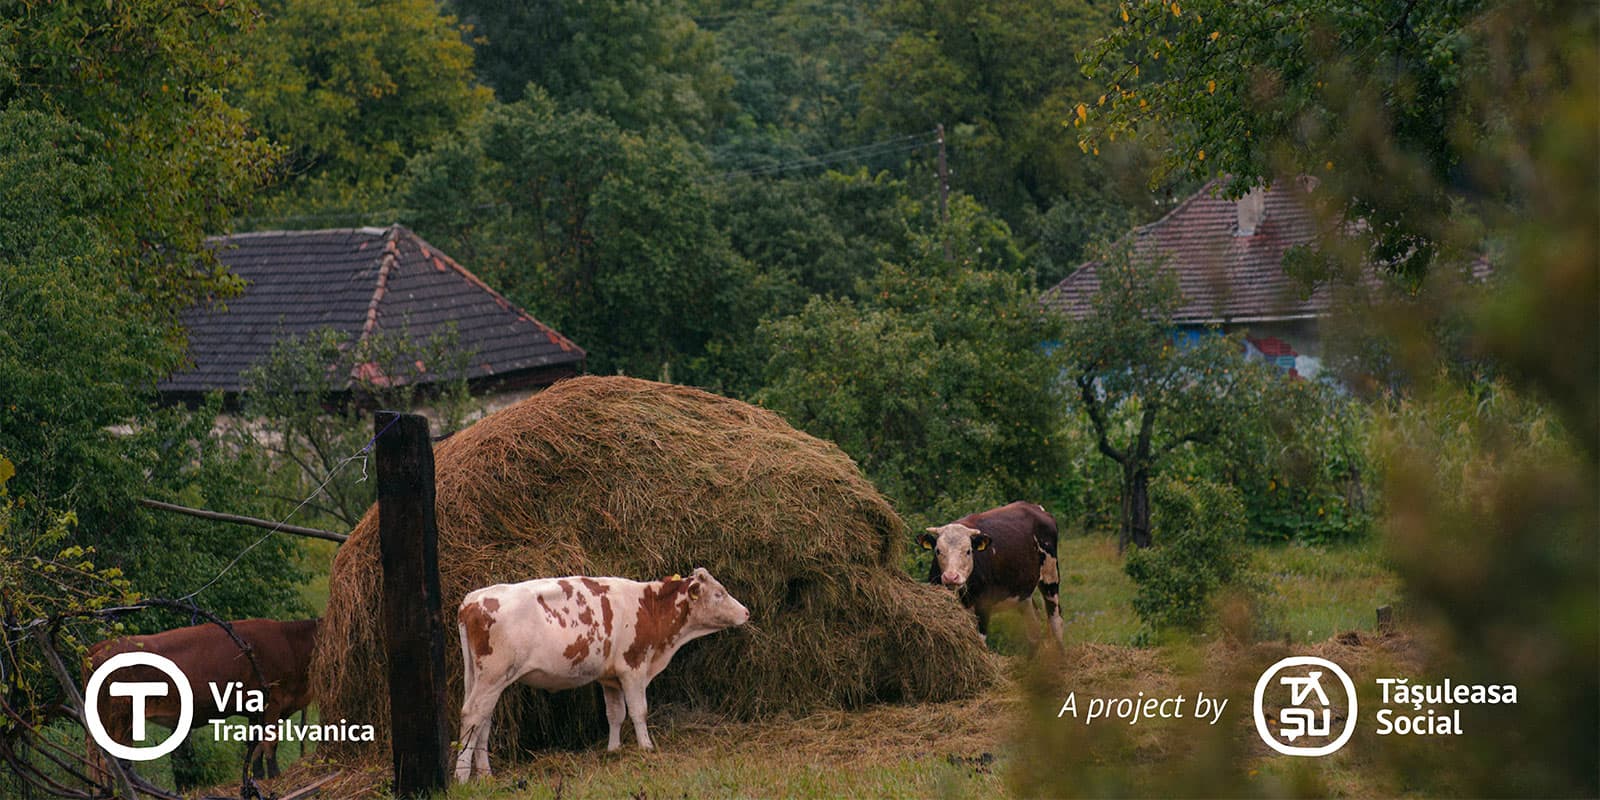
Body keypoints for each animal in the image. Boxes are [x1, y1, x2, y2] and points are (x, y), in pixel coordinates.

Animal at [83, 617, 318, 780]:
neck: (290, 643)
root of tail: (98, 647)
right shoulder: (273, 702)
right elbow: (270, 743)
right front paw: (276, 776)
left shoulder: (256, 709)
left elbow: (255, 745)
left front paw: (259, 777)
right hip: (117, 719)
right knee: (104, 761)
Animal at [454, 569, 745, 780]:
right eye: (719, 594)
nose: (746, 612)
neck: (649, 607)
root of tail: (472, 600)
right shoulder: (633, 667)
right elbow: (638, 711)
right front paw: (646, 748)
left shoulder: (610, 677)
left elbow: (615, 714)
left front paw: (613, 750)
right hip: (493, 676)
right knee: (471, 716)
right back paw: (462, 776)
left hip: (484, 679)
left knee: (483, 721)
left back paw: (485, 774)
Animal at [915, 499, 1062, 643]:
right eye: (938, 551)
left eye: (968, 551)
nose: (951, 577)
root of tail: (1035, 507)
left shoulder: (983, 608)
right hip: (1023, 592)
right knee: (1034, 629)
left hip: (1050, 578)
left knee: (1056, 622)